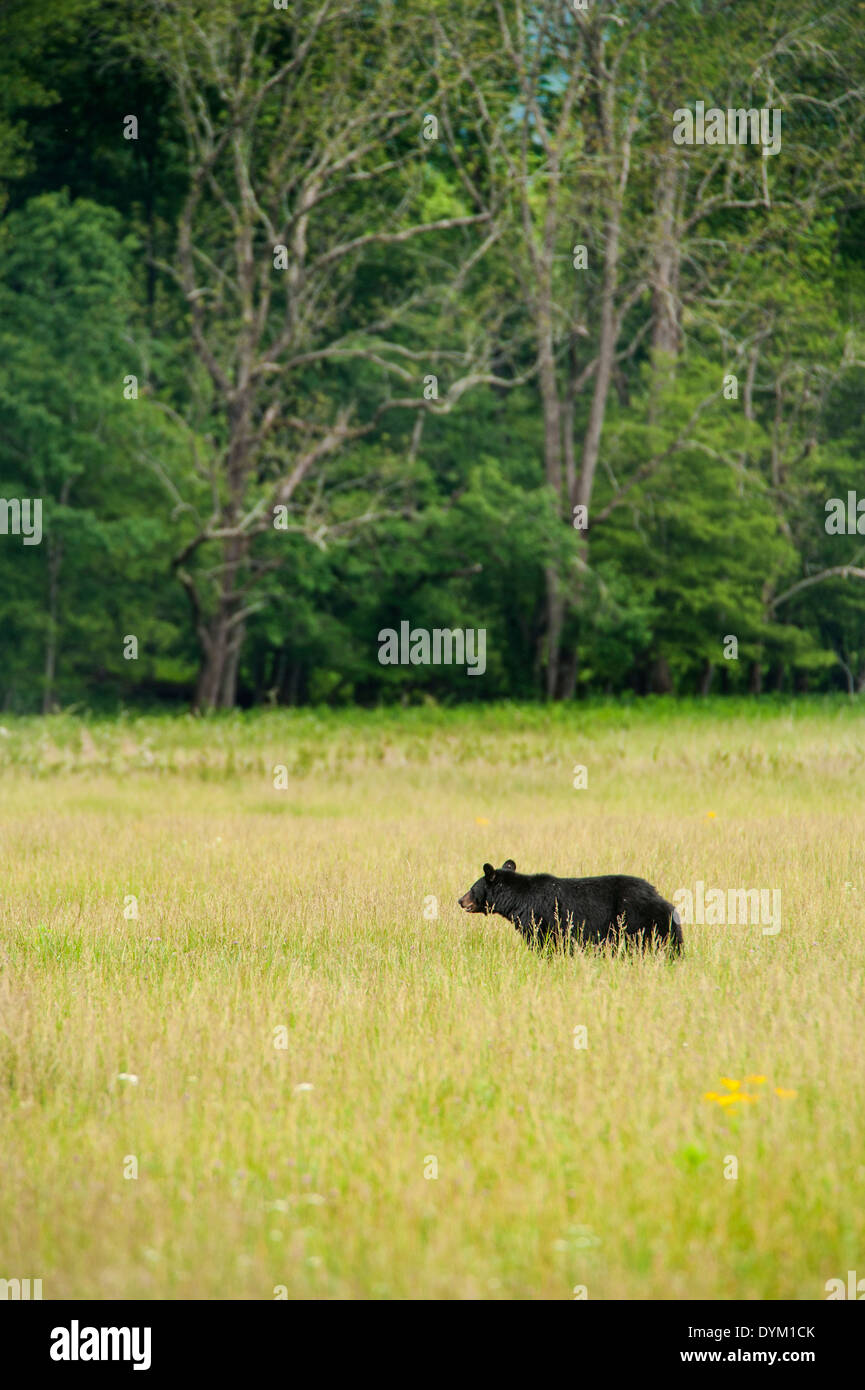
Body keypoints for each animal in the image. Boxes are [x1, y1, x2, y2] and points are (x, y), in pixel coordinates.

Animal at [458, 856, 686, 956]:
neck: (518, 900)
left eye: (472, 888)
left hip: (636, 920)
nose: (460, 900)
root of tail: (661, 899)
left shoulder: (541, 919)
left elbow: (544, 944)